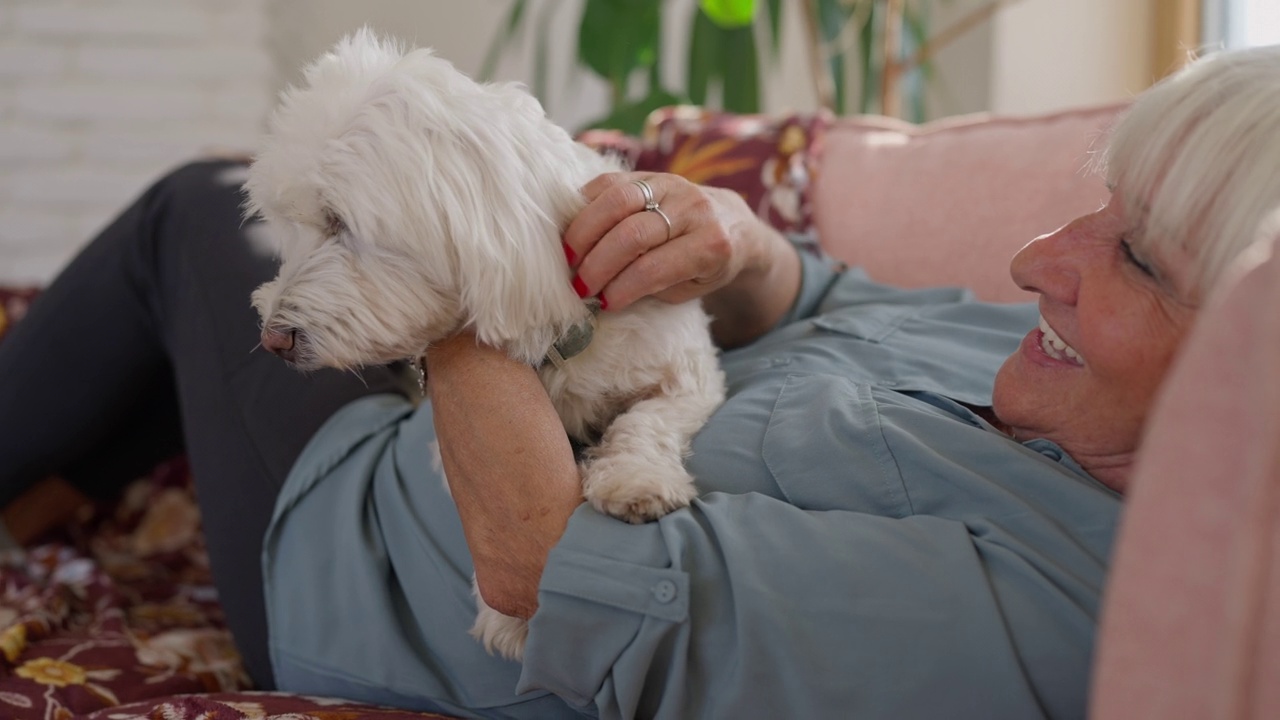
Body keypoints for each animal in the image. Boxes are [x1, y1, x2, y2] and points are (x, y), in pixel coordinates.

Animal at [244, 28, 727, 655]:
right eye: (289, 228)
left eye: (337, 222)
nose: (272, 339)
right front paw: (512, 616)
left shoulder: (688, 370)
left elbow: (647, 420)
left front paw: (634, 479)